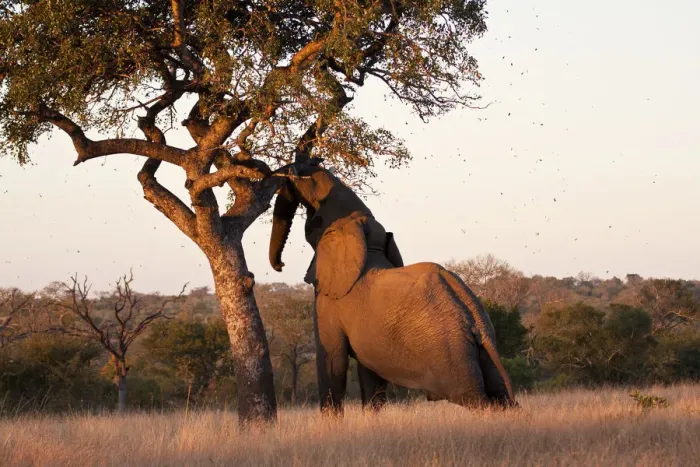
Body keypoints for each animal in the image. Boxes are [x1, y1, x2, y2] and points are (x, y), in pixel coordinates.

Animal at [268, 158, 517, 414]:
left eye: (312, 225)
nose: (280, 266)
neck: (363, 237)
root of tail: (475, 319)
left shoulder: (330, 300)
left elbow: (333, 361)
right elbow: (370, 374)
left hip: (451, 352)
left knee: (474, 398)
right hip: (479, 351)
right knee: (500, 395)